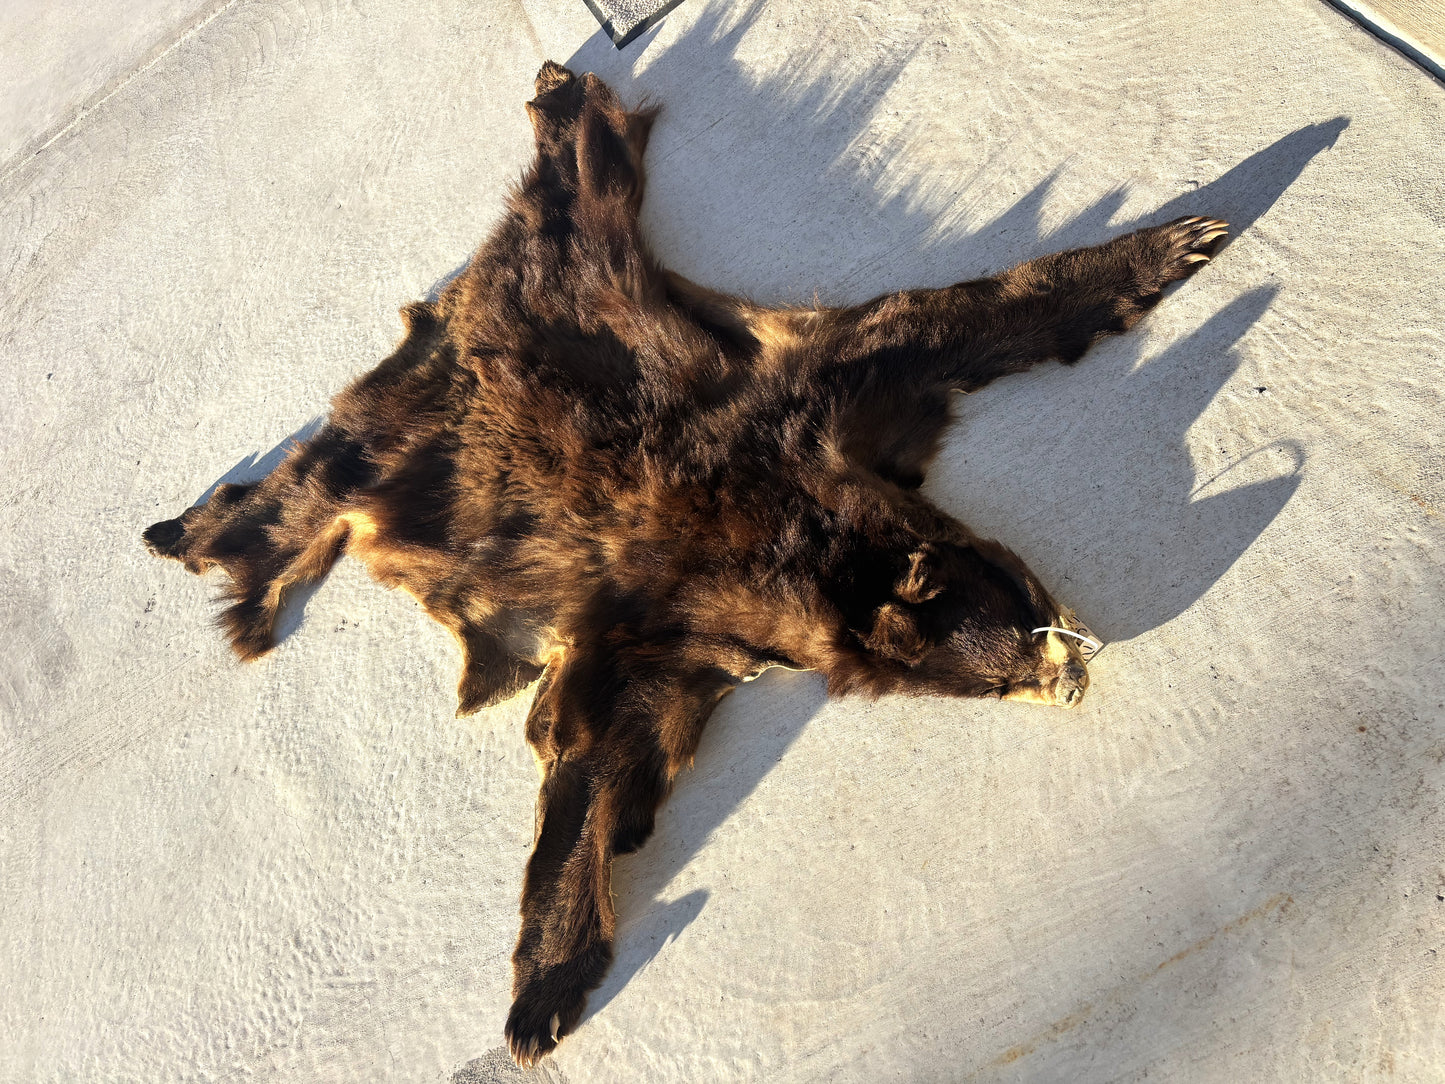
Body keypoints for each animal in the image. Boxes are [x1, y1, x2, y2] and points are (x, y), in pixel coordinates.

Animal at [142, 60, 1227, 1066]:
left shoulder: (797, 426)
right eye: (1010, 665)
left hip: (568, 277)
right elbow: (583, 751)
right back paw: (205, 544)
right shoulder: (653, 605)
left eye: (1031, 608)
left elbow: (928, 322)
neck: (787, 543)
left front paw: (1173, 239)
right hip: (428, 395)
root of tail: (450, 316)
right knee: (317, 477)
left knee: (587, 181)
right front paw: (542, 993)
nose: (1075, 672)